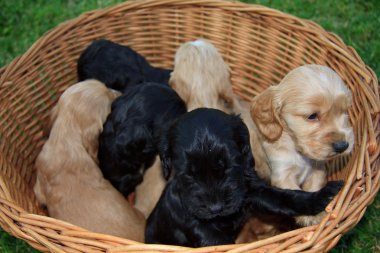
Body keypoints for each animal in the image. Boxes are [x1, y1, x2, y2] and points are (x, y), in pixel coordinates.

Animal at [145, 108, 344, 247]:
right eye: (188, 174)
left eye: (229, 166)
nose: (215, 208)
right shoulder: (194, 221)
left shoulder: (252, 189)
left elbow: (286, 197)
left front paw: (323, 195)